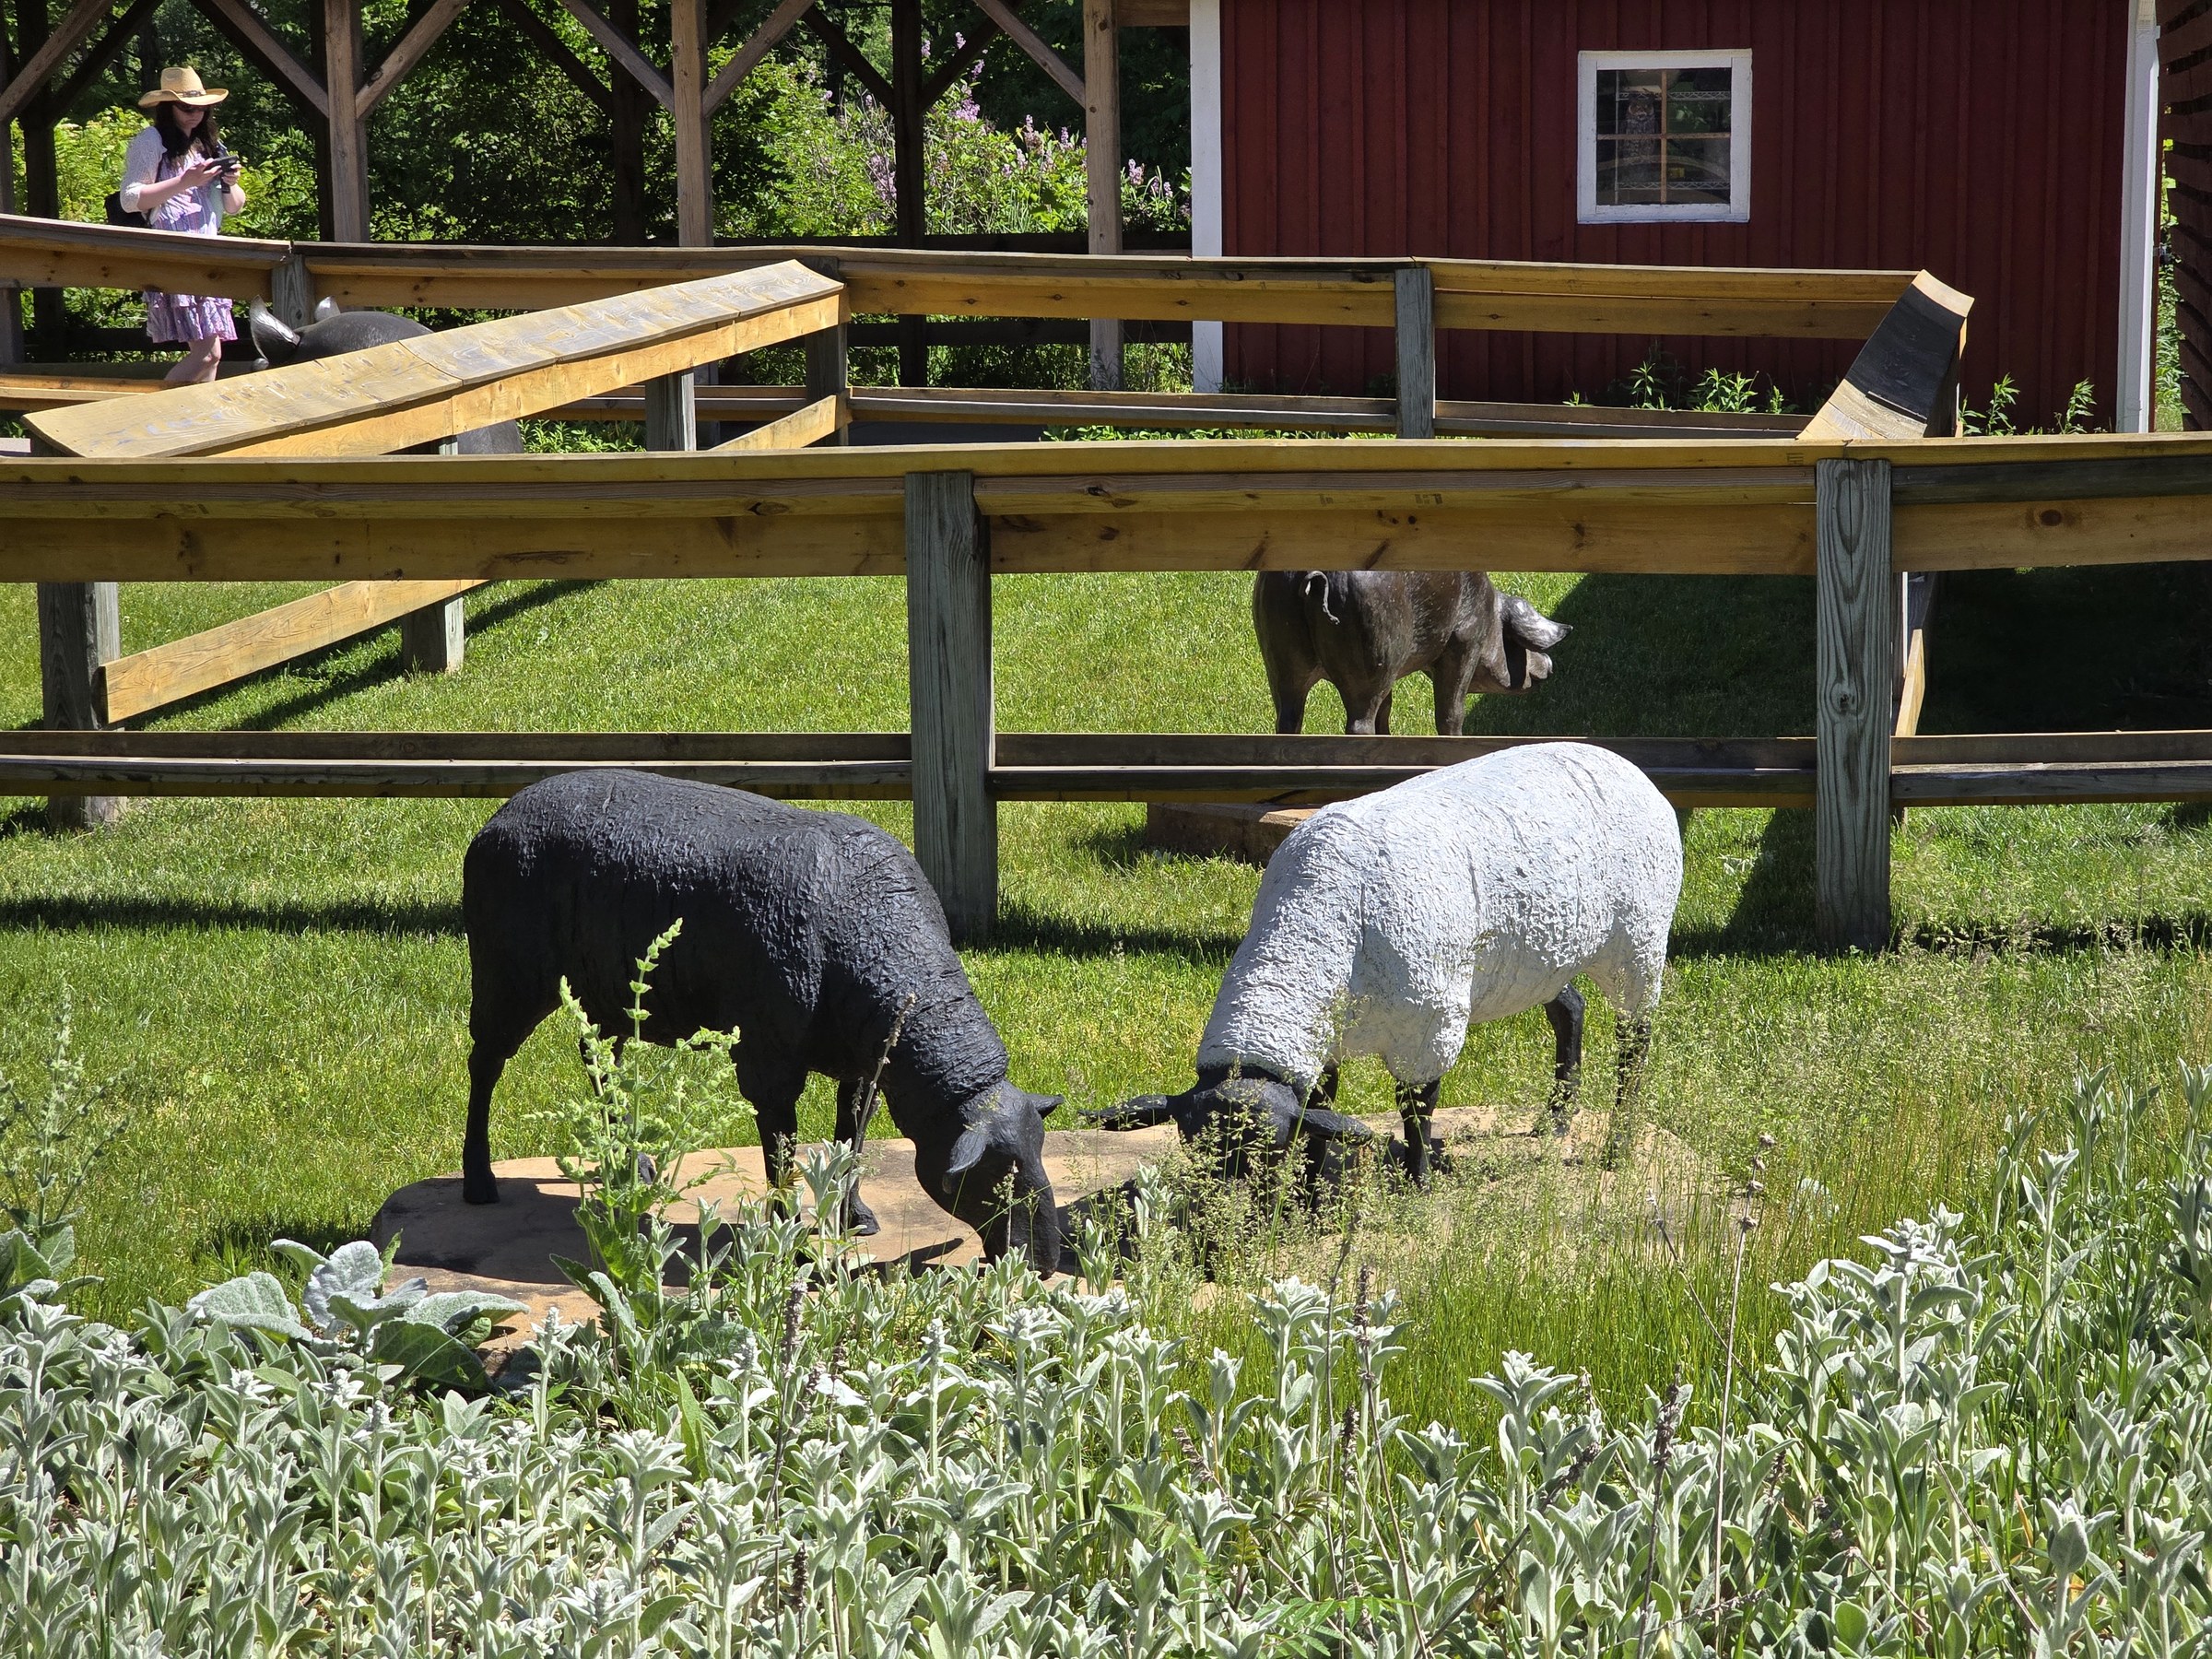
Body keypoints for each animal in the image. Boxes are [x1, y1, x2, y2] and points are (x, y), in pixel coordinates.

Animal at [460, 770, 1062, 1273]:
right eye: (996, 1177)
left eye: (1039, 1151)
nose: (1044, 1261)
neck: (877, 937)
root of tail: (500, 814)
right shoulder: (769, 1061)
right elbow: (781, 1153)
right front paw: (786, 1240)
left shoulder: (863, 1062)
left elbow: (851, 1140)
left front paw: (852, 1216)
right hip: (508, 974)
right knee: (485, 1063)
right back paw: (479, 1180)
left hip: (608, 993)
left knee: (600, 1065)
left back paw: (630, 1166)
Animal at [1098, 742, 1681, 1179]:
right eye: (1192, 1148)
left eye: (1269, 1152)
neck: (1320, 924)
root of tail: (1625, 765)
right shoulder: (1328, 1037)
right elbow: (1322, 1113)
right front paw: (1311, 1191)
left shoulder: (1431, 1027)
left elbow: (1415, 1108)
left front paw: (1417, 1181)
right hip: (1543, 954)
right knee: (1570, 1009)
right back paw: (1555, 1121)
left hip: (1639, 941)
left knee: (1635, 1042)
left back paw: (1617, 1147)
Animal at [1253, 571, 1569, 735]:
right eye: (1517, 643)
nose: (1550, 664)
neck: (1489, 614)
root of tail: (1316, 578)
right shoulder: (1465, 642)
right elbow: (1451, 712)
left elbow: (1387, 708)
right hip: (1371, 650)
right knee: (1358, 723)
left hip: (1279, 652)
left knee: (1288, 717)